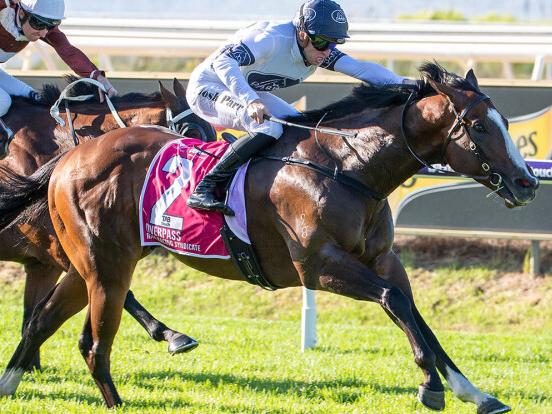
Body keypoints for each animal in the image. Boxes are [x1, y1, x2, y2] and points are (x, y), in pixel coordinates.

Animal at [0, 77, 216, 368]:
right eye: (190, 130)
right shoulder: (69, 252)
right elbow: (123, 293)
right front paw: (173, 335)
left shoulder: (42, 264)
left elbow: (31, 316)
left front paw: (29, 366)